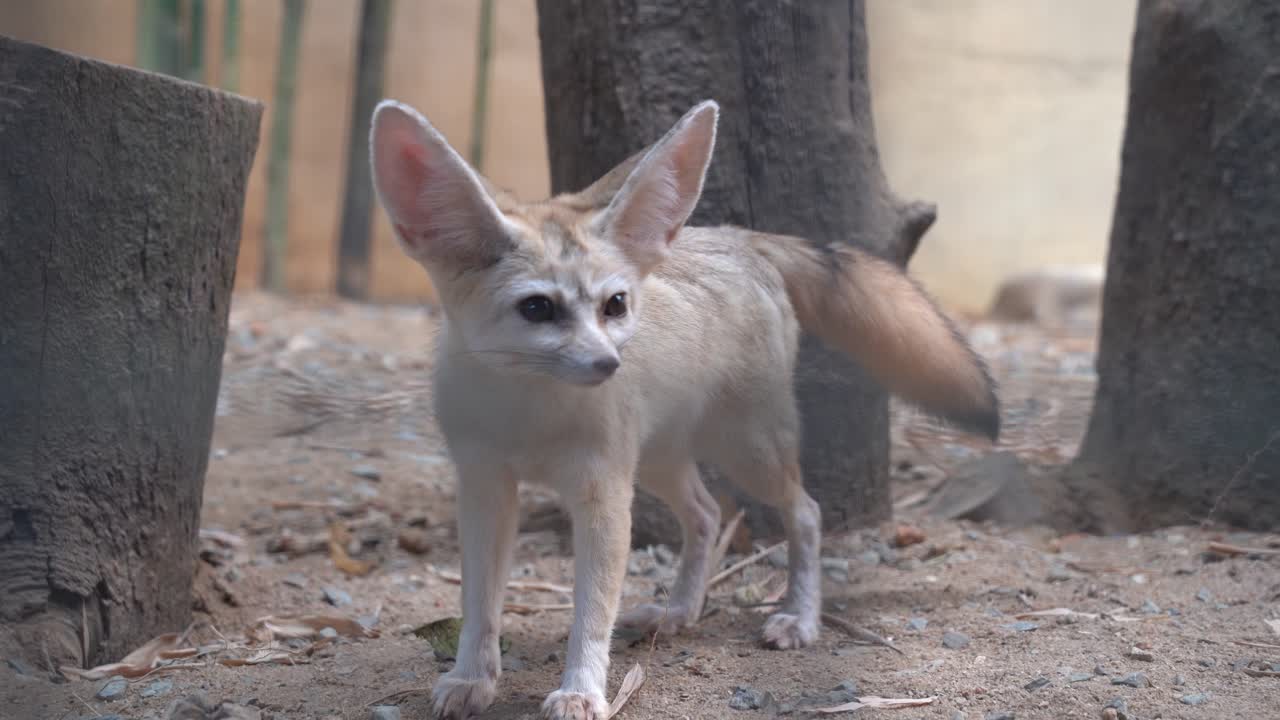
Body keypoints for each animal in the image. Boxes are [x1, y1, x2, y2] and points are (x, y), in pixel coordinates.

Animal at [369, 98, 999, 720]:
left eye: (615, 304)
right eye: (537, 309)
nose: (608, 364)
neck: (528, 416)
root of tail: (741, 236)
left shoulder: (602, 496)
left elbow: (590, 613)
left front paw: (582, 691)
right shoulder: (485, 488)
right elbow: (479, 604)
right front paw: (472, 679)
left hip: (747, 453)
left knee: (806, 513)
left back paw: (798, 618)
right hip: (659, 462)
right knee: (706, 513)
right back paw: (679, 612)